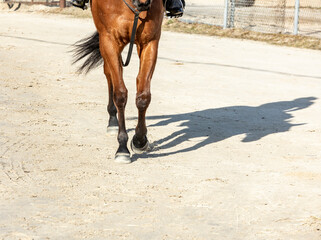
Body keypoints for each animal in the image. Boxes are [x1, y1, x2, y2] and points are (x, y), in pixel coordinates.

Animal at [73, 0, 164, 163]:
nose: (144, 3)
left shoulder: (149, 42)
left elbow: (143, 96)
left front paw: (140, 140)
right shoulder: (110, 40)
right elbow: (120, 94)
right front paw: (122, 147)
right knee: (109, 75)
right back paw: (112, 121)